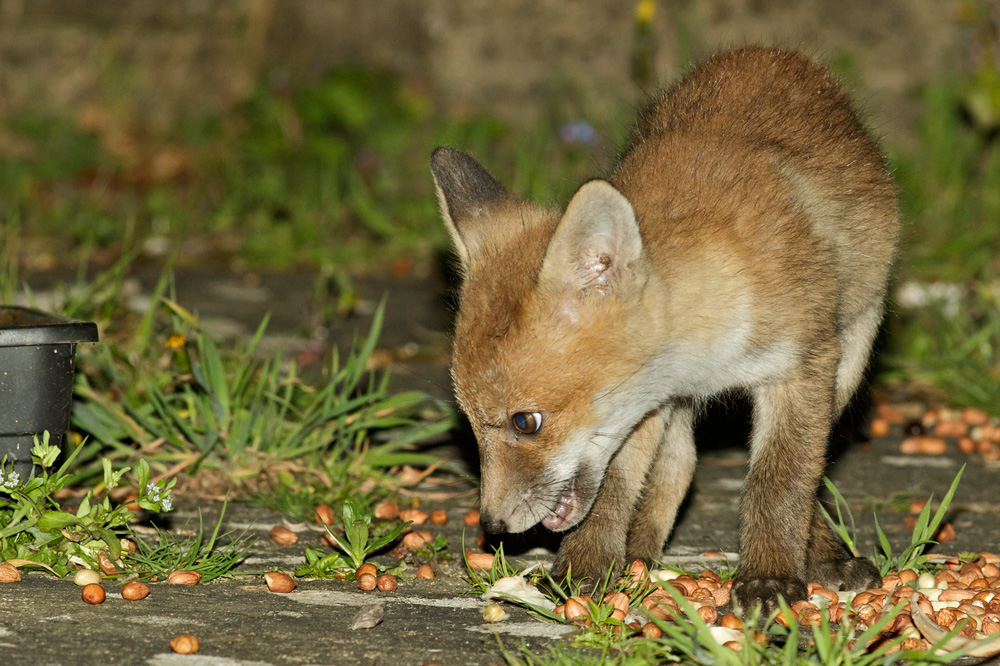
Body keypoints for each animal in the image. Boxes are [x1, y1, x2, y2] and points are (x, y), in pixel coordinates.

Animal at [430, 46, 899, 614]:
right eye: (471, 424)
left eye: (526, 423)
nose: (492, 525)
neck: (706, 353)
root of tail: (772, 54)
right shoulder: (647, 405)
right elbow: (614, 487)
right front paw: (584, 569)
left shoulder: (801, 365)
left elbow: (781, 480)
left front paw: (769, 576)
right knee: (681, 465)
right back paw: (640, 552)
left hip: (852, 350)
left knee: (810, 469)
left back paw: (823, 552)